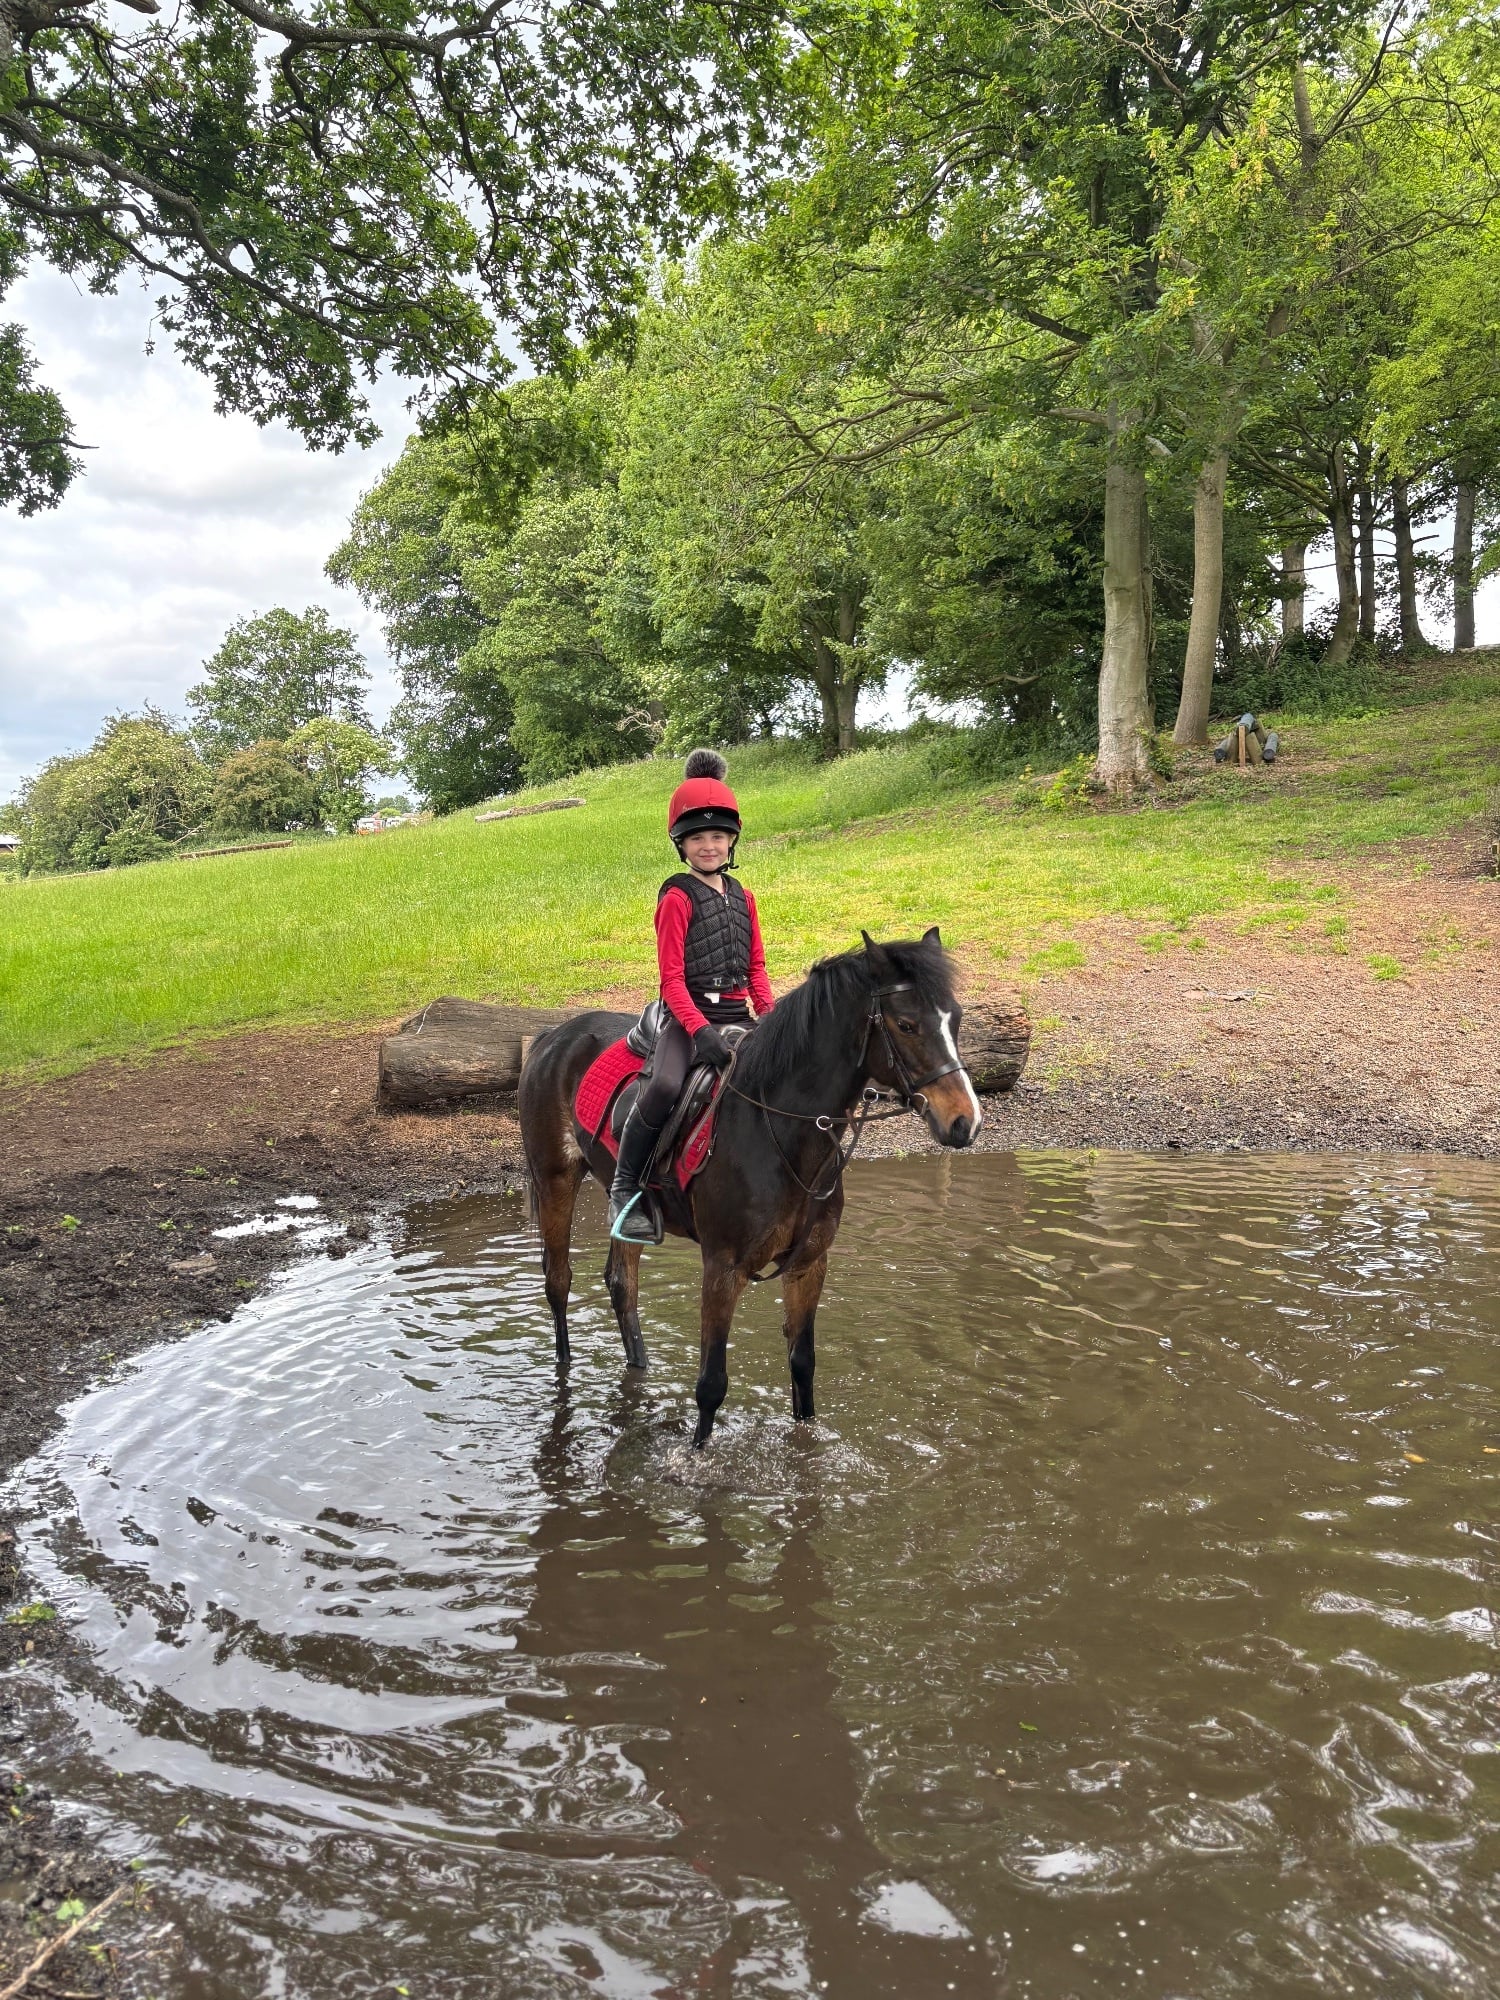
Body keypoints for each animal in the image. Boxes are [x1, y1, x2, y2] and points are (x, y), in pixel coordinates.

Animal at [517, 927, 981, 1447]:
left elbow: (802, 1367)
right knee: (558, 1283)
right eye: (906, 1025)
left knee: (622, 1286)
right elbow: (711, 1385)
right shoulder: (722, 1269)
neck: (778, 1130)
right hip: (554, 1178)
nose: (965, 1121)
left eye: (956, 1019)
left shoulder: (809, 1265)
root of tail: (553, 1037)